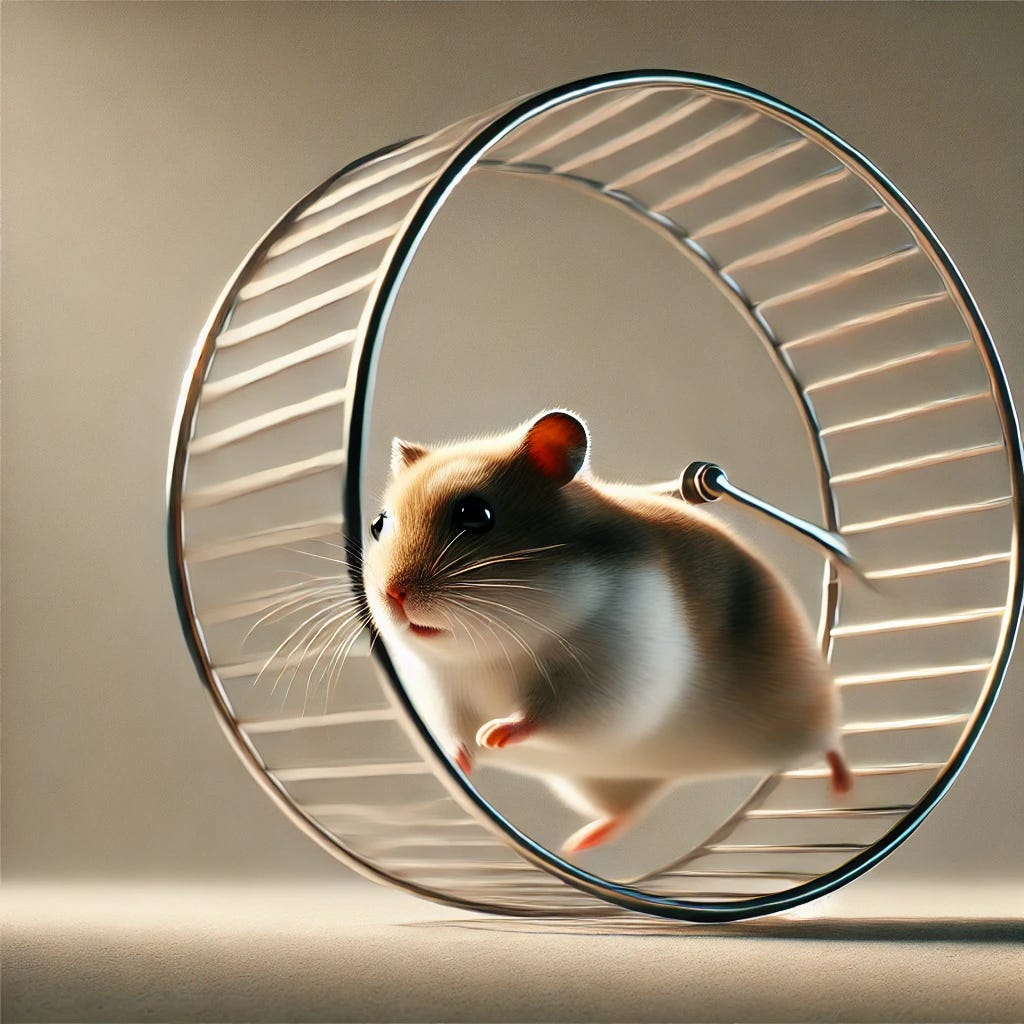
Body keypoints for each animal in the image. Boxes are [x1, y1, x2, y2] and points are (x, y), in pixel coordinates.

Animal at [362, 410, 852, 855]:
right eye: (378, 525)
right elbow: (454, 733)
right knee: (628, 811)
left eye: (475, 514)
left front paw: (495, 733)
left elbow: (546, 715)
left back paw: (843, 788)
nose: (393, 594)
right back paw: (577, 845)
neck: (493, 647)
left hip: (803, 704)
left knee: (832, 739)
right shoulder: (440, 689)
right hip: (600, 783)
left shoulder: (610, 677)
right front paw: (459, 761)